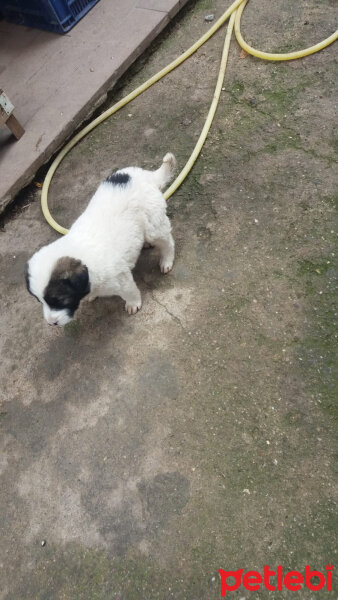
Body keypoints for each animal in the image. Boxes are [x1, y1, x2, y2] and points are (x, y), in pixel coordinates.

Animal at [26, 152, 177, 326]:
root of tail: (147, 176)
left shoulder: (121, 279)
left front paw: (133, 303)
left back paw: (166, 260)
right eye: (40, 301)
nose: (51, 323)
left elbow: (129, 291)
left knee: (167, 242)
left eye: (61, 300)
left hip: (154, 225)